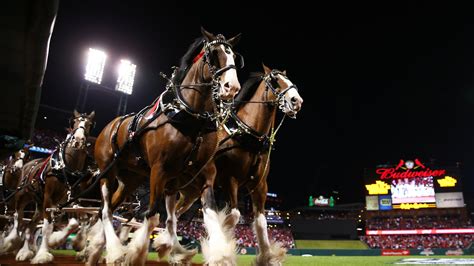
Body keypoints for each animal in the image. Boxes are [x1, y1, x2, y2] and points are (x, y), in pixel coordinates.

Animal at [1, 109, 95, 262]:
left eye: (90, 124)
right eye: (74, 122)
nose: (78, 140)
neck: (65, 167)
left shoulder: (66, 200)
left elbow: (74, 223)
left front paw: (63, 241)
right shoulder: (48, 196)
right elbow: (46, 227)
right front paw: (43, 254)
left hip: (39, 204)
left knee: (29, 227)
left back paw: (25, 251)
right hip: (23, 197)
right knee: (17, 219)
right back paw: (12, 243)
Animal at [91, 27, 243, 266]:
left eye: (234, 56)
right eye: (213, 54)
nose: (232, 87)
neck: (190, 119)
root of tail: (110, 125)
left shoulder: (201, 173)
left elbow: (205, 212)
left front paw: (219, 253)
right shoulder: (159, 171)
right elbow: (152, 215)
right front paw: (136, 254)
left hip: (130, 181)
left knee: (107, 209)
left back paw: (96, 250)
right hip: (108, 173)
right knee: (106, 211)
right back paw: (115, 251)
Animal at [174, 65, 304, 266]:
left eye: (290, 80)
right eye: (275, 80)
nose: (296, 101)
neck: (247, 135)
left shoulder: (260, 185)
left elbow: (261, 222)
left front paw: (267, 257)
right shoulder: (230, 180)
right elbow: (234, 215)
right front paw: (220, 247)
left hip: (190, 192)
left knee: (174, 213)